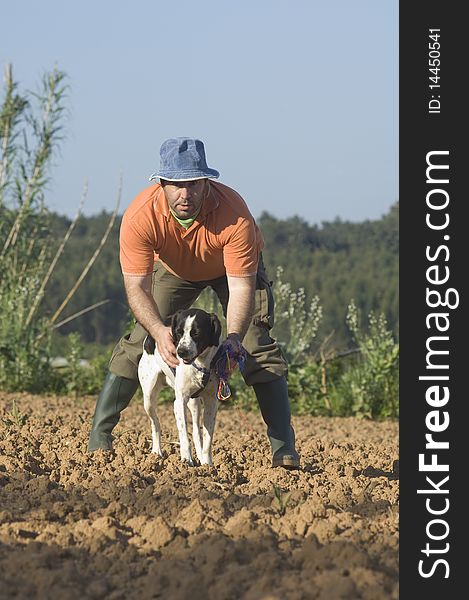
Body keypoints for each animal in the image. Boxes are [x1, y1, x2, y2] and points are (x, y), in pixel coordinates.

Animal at [137, 310, 221, 468]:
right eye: (178, 333)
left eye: (196, 333)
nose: (181, 352)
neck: (200, 364)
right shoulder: (179, 402)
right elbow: (184, 435)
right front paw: (186, 460)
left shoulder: (211, 402)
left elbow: (207, 438)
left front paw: (208, 465)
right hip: (148, 399)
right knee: (155, 424)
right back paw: (156, 453)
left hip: (194, 403)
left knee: (196, 431)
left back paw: (200, 457)